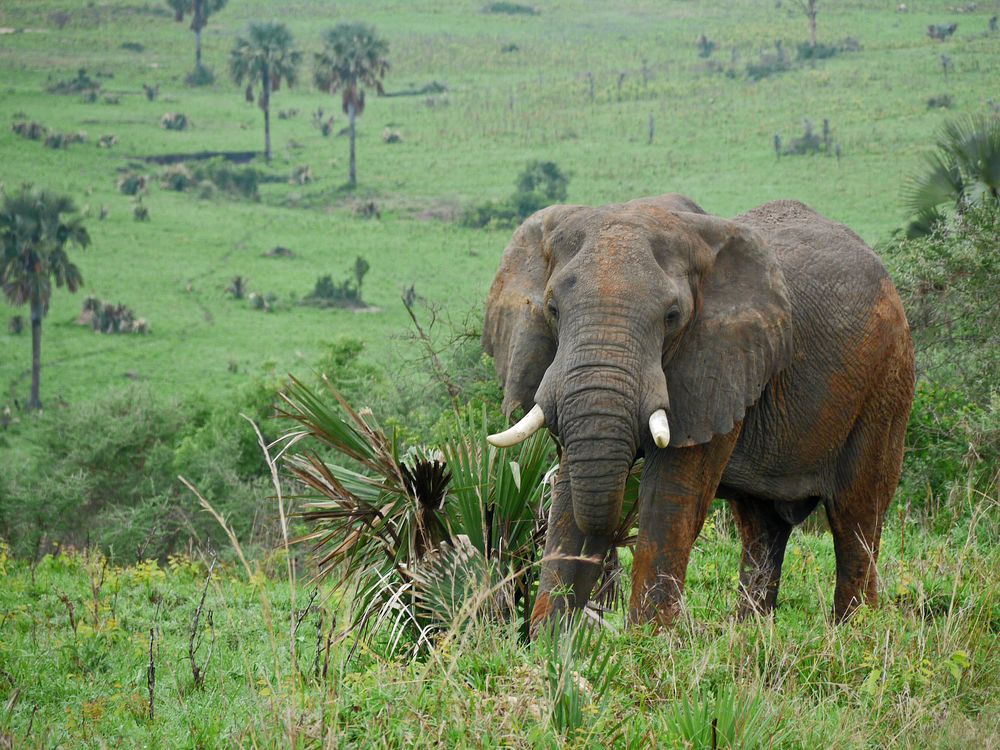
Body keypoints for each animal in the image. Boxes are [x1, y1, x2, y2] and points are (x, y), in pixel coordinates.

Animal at [482, 195, 916, 628]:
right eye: (552, 309)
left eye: (672, 316)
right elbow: (569, 490)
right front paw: (553, 638)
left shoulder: (714, 364)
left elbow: (669, 497)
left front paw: (646, 640)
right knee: (761, 525)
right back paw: (750, 630)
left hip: (886, 381)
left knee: (856, 515)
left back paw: (855, 629)